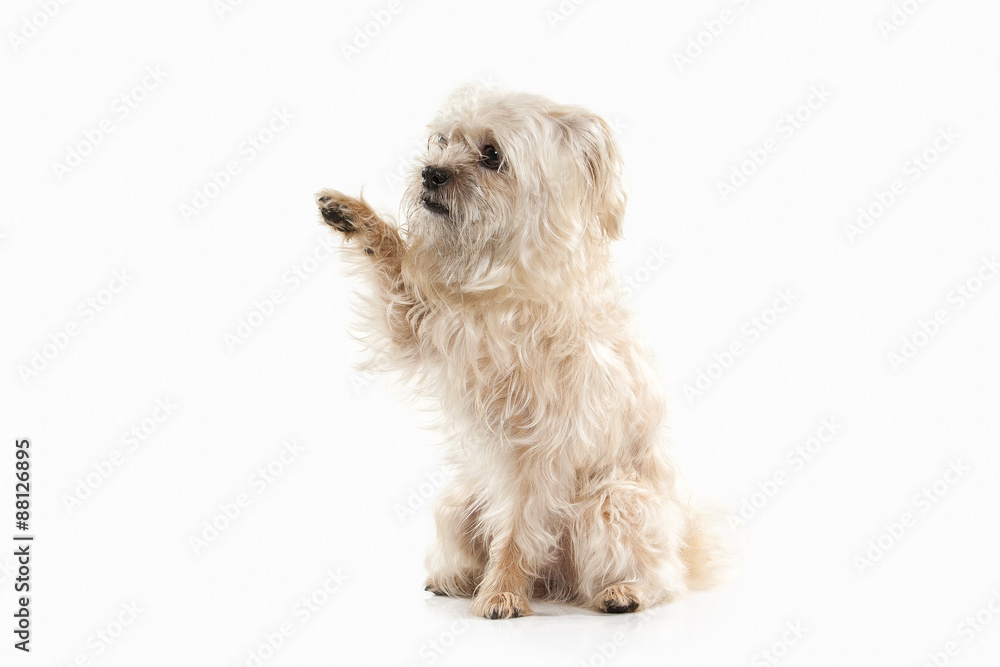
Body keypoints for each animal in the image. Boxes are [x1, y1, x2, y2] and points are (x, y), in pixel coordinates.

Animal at [316, 86, 732, 620]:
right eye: (441, 142)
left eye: (492, 155)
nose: (431, 173)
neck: (501, 283)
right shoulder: (420, 325)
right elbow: (394, 269)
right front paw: (354, 217)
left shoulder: (542, 448)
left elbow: (518, 528)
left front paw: (503, 592)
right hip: (459, 500)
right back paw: (456, 579)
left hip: (615, 500)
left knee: (663, 577)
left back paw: (624, 591)